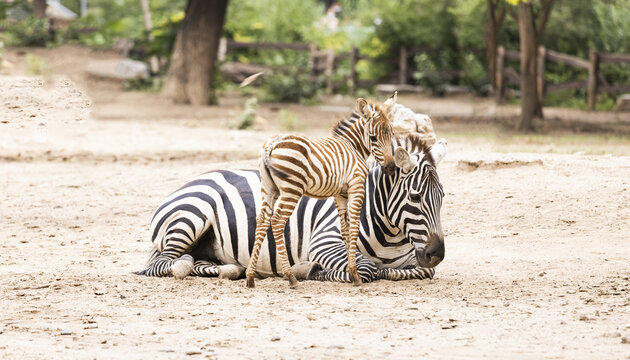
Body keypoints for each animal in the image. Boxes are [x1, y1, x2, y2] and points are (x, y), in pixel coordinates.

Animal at [135, 134, 446, 282]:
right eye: (416, 197)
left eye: (442, 197)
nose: (437, 254)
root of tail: (191, 180)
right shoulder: (325, 242)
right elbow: (369, 269)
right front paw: (312, 271)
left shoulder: (413, 259)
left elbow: (419, 271)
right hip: (190, 217)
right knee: (163, 263)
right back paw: (186, 265)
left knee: (193, 261)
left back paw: (230, 269)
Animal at [246, 97, 398, 288]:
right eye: (373, 137)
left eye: (391, 134)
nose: (391, 167)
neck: (354, 147)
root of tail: (272, 144)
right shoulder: (356, 186)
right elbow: (354, 227)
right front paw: (355, 274)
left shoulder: (341, 194)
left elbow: (345, 229)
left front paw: (351, 272)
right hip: (292, 189)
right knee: (277, 221)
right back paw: (291, 277)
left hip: (268, 188)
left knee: (262, 221)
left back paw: (250, 277)